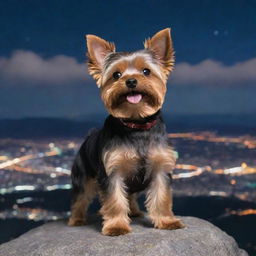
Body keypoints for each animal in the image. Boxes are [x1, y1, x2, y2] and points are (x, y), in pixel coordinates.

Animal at [67, 28, 184, 236]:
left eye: (146, 71)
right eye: (116, 74)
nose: (130, 81)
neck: (136, 124)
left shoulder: (160, 168)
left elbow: (161, 197)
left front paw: (167, 221)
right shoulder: (112, 171)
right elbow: (114, 200)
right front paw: (116, 226)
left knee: (130, 196)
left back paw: (135, 211)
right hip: (82, 174)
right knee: (80, 197)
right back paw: (77, 219)